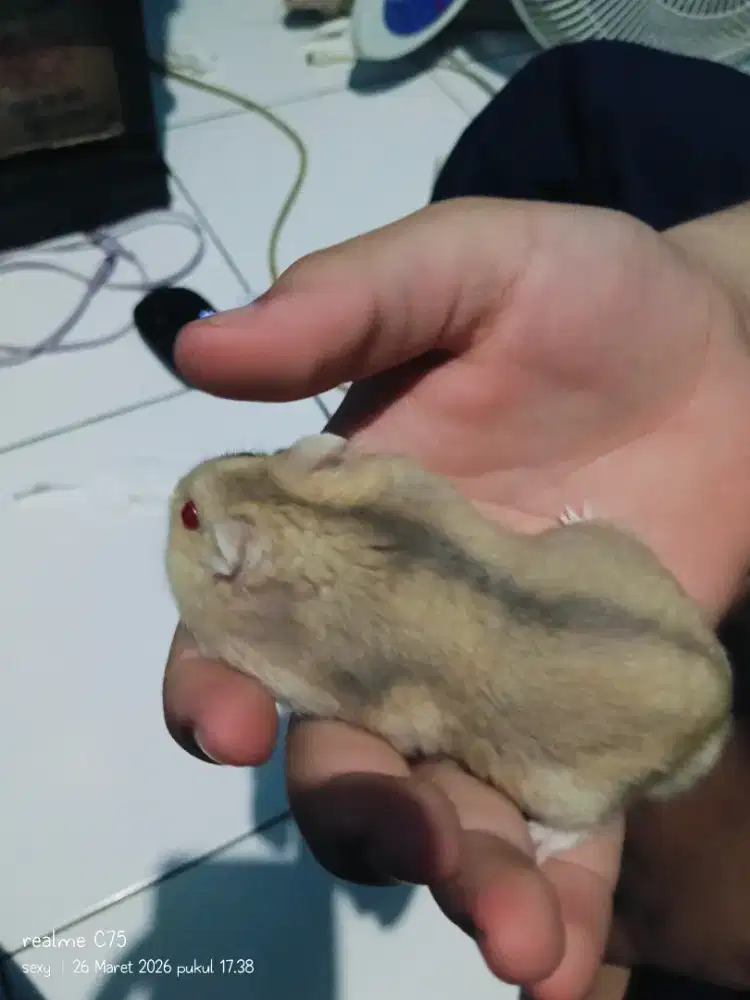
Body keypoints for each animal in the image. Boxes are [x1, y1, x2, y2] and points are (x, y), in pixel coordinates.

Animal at [165, 433, 732, 861]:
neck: (303, 520)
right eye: (247, 453)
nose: (175, 488)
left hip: (569, 790)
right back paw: (579, 513)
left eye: (189, 515)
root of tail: (724, 698)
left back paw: (541, 841)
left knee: (591, 821)